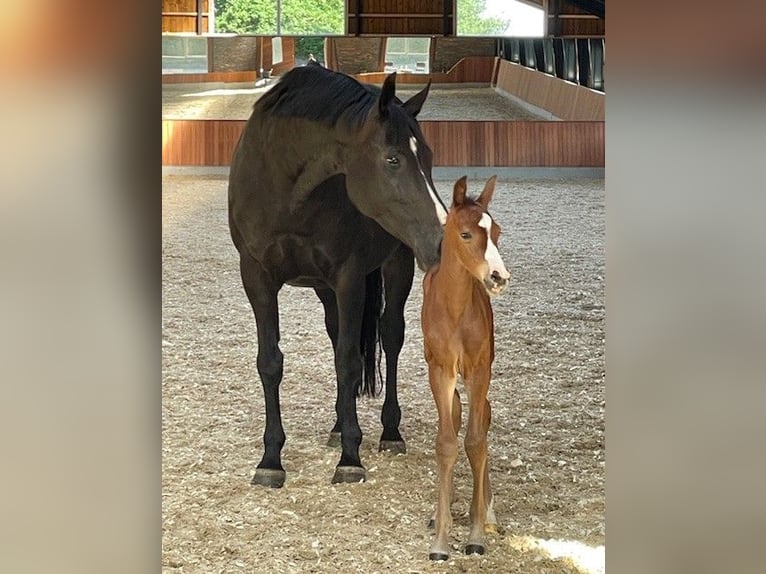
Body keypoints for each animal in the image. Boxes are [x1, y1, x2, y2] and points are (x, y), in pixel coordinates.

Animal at [226, 63, 450, 488]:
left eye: (429, 157)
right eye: (393, 159)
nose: (443, 238)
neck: (286, 188)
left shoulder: (350, 278)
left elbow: (349, 361)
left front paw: (350, 456)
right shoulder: (257, 277)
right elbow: (270, 362)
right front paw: (271, 458)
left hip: (397, 264)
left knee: (390, 335)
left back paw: (389, 431)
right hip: (323, 288)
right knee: (335, 337)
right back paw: (335, 424)